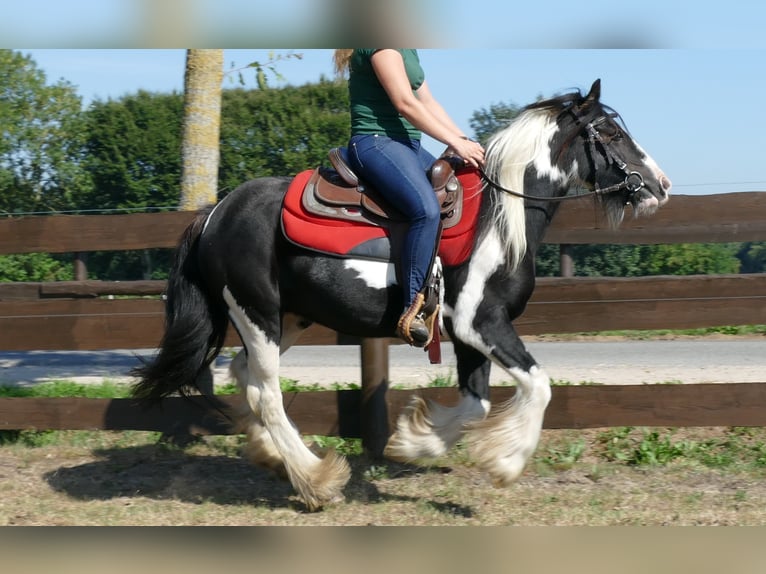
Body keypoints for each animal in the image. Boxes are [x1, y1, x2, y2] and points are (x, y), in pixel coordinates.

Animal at [134, 79, 672, 510]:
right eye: (611, 134)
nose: (660, 186)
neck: (497, 219)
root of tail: (214, 212)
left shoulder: (464, 332)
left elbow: (475, 404)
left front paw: (412, 444)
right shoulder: (482, 322)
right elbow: (539, 386)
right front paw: (507, 462)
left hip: (290, 318)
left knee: (244, 374)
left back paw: (274, 458)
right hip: (257, 312)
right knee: (267, 392)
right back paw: (316, 480)